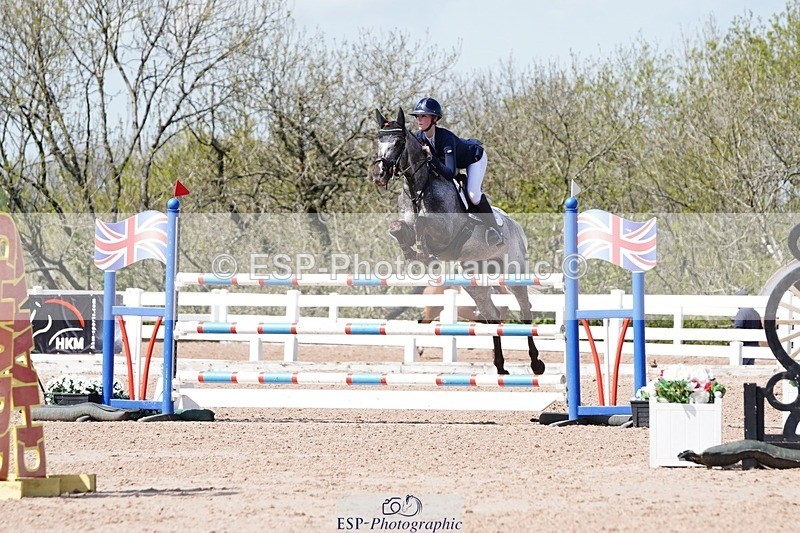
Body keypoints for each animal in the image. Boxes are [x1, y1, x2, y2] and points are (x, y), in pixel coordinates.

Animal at [372, 108, 545, 375]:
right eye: (378, 139)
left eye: (398, 142)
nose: (379, 176)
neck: (418, 188)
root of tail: (516, 227)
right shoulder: (405, 225)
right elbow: (398, 227)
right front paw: (412, 254)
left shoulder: (445, 232)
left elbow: (423, 224)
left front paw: (423, 253)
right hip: (475, 278)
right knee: (492, 315)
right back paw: (500, 367)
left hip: (513, 270)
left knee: (525, 308)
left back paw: (536, 363)